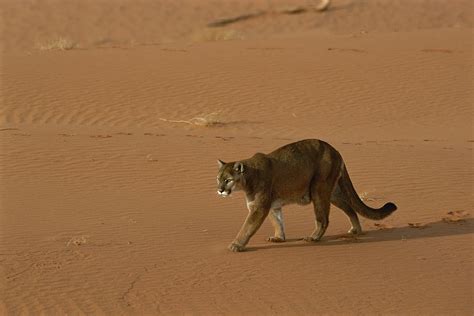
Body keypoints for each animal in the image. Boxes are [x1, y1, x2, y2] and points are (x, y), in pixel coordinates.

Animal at [218, 139, 396, 253]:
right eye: (218, 178)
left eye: (228, 180)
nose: (220, 190)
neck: (249, 177)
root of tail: (335, 150)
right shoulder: (273, 205)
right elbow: (277, 221)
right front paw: (279, 238)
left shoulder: (259, 207)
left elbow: (247, 227)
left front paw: (236, 245)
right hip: (332, 192)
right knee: (350, 207)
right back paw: (355, 230)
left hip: (318, 189)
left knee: (323, 219)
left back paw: (313, 237)